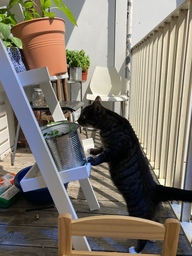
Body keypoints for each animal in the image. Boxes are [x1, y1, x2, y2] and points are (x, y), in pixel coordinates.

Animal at [77, 96, 192, 254]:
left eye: (84, 116)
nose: (77, 120)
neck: (110, 123)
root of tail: (156, 189)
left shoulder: (114, 150)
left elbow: (103, 155)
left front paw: (93, 159)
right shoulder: (107, 146)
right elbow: (101, 147)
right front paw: (93, 150)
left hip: (136, 210)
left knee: (144, 234)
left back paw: (136, 250)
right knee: (154, 223)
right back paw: (152, 238)